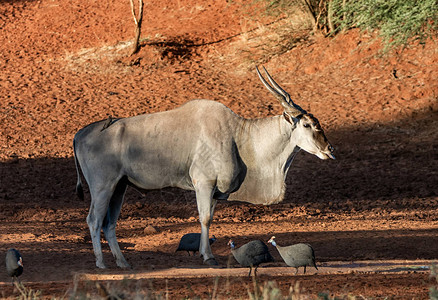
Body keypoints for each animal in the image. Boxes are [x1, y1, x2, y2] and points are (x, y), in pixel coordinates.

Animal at [73, 67, 336, 268]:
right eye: (306, 124)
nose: (329, 150)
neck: (238, 136)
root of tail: (79, 134)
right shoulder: (204, 184)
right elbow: (205, 218)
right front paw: (208, 257)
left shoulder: (215, 192)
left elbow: (208, 216)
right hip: (103, 187)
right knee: (94, 220)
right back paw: (101, 263)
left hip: (119, 188)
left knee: (109, 224)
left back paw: (123, 262)